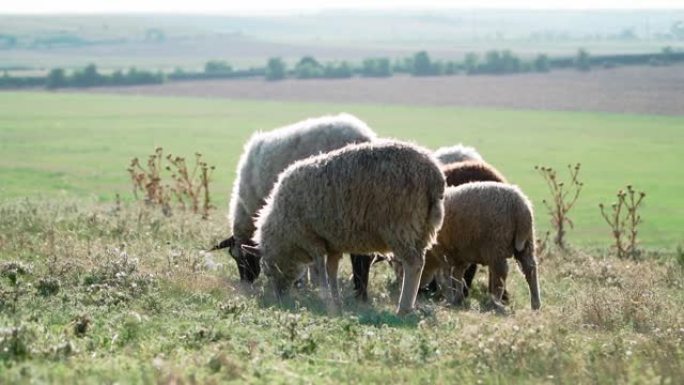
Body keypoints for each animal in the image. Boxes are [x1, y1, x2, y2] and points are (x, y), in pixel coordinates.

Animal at [242, 140, 448, 314]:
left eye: (269, 270)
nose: (280, 298)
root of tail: (434, 175)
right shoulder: (333, 242)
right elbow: (331, 270)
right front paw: (336, 300)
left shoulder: (311, 239)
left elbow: (320, 268)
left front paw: (326, 299)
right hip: (422, 230)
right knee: (420, 263)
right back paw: (410, 306)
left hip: (400, 226)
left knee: (413, 264)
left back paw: (403, 309)